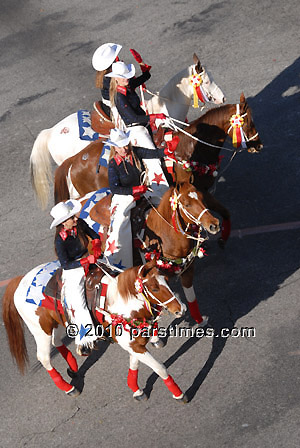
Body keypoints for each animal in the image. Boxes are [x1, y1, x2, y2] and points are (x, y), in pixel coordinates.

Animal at [2, 260, 190, 402]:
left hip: (57, 324)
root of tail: (20, 281)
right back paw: (69, 388)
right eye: (155, 288)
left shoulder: (135, 345)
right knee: (44, 357)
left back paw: (73, 367)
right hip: (41, 331)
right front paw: (179, 394)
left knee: (56, 342)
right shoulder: (133, 346)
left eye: (167, 280)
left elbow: (134, 364)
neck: (119, 306)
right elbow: (160, 368)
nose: (181, 309)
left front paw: (136, 390)